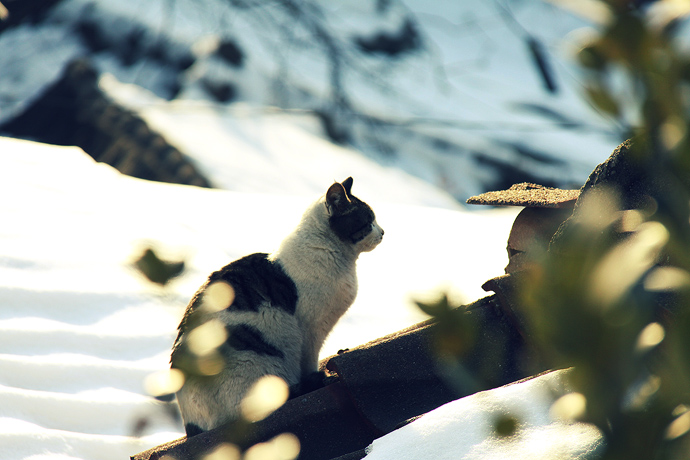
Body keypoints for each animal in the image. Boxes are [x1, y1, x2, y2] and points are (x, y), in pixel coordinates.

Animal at [167, 178, 382, 436]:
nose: (383, 232)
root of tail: (192, 426)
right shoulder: (310, 330)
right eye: (368, 221)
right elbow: (309, 361)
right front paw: (320, 377)